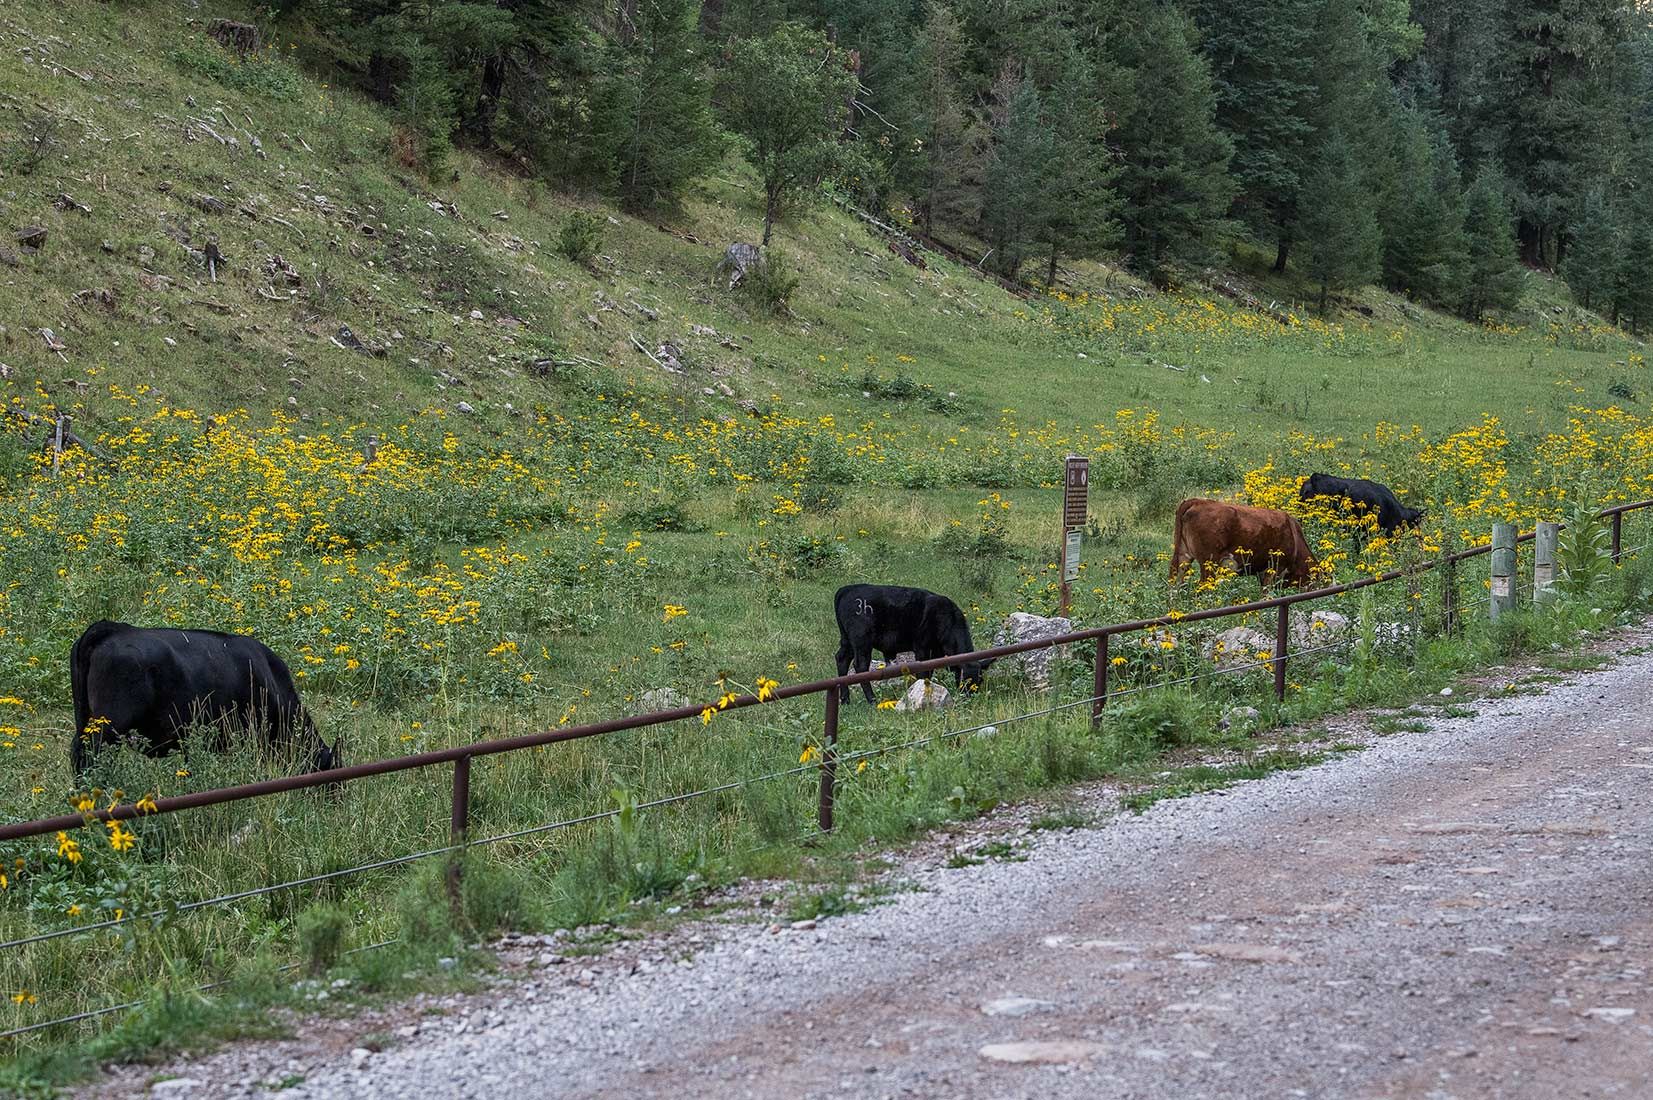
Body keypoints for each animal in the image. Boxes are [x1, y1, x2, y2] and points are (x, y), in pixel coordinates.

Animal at [833, 585, 992, 704]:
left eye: (980, 680)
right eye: (965, 680)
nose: (969, 697)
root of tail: (847, 589)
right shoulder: (922, 648)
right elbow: (923, 672)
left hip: (847, 641)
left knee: (842, 659)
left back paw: (845, 699)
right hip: (861, 641)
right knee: (860, 666)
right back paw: (872, 700)